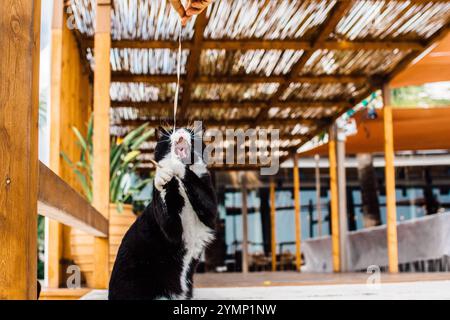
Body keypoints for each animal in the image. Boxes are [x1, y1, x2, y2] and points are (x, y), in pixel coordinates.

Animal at [107, 127, 216, 300]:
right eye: (170, 132)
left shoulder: (210, 208)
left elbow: (204, 196)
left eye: (189, 131)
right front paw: (161, 177)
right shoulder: (172, 231)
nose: (180, 132)